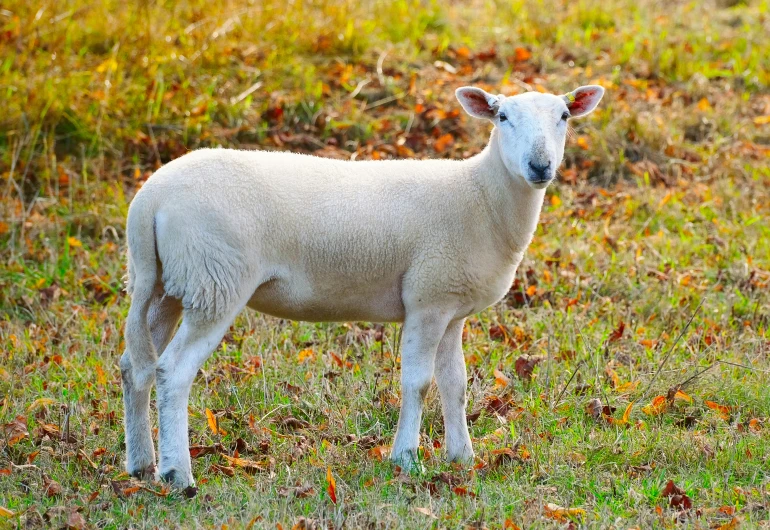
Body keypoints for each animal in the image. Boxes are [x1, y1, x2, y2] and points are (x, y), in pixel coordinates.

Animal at [120, 83, 604, 486]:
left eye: (564, 115)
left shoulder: (451, 306)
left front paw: (462, 458)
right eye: (502, 116)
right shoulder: (427, 298)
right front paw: (406, 459)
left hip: (164, 284)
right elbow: (418, 383)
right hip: (215, 280)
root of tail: (150, 199)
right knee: (172, 371)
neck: (481, 197)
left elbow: (456, 384)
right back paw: (177, 475)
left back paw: (141, 463)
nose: (540, 166)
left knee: (134, 366)